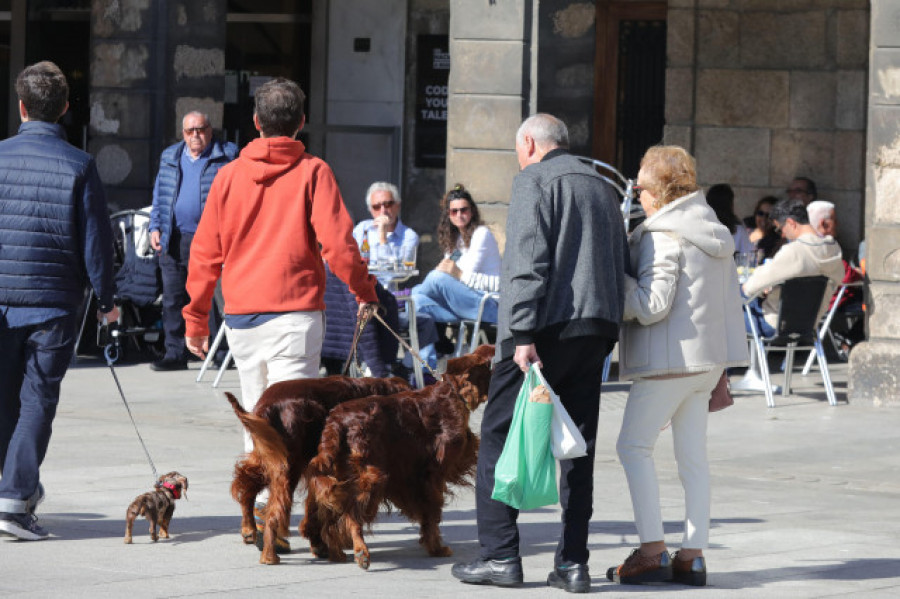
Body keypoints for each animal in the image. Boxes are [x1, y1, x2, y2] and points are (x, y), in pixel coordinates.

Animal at [306, 344, 496, 568]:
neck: (452, 395)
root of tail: (337, 421)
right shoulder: (432, 476)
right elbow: (433, 512)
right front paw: (437, 548)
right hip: (373, 477)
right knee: (351, 513)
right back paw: (360, 551)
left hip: (341, 475)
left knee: (331, 517)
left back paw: (335, 552)